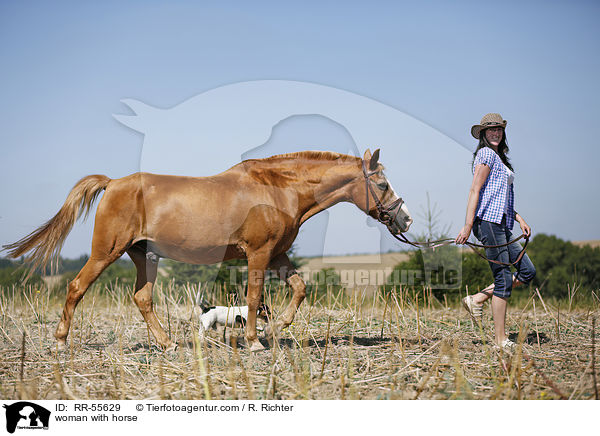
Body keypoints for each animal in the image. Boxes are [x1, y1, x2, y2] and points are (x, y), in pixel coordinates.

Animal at [3, 149, 412, 350]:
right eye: (383, 184)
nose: (405, 220)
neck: (278, 189)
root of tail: (113, 183)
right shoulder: (259, 254)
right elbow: (253, 296)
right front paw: (254, 342)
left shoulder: (278, 255)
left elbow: (298, 289)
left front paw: (274, 328)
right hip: (107, 252)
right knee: (76, 288)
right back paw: (59, 343)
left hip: (143, 255)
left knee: (142, 298)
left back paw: (168, 344)